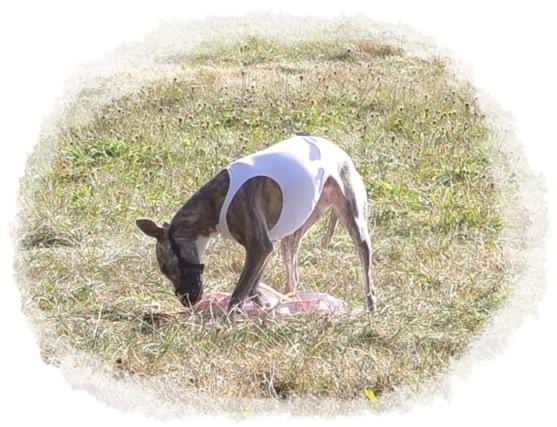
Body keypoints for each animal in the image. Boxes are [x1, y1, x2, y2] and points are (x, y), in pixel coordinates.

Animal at [136, 134, 376, 314]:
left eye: (168, 268)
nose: (187, 302)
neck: (215, 202)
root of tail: (334, 147)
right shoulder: (263, 249)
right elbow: (252, 287)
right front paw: (266, 306)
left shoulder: (259, 247)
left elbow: (240, 290)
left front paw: (228, 320)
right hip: (297, 226)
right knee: (292, 265)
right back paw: (291, 298)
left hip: (354, 219)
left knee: (366, 268)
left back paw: (370, 307)